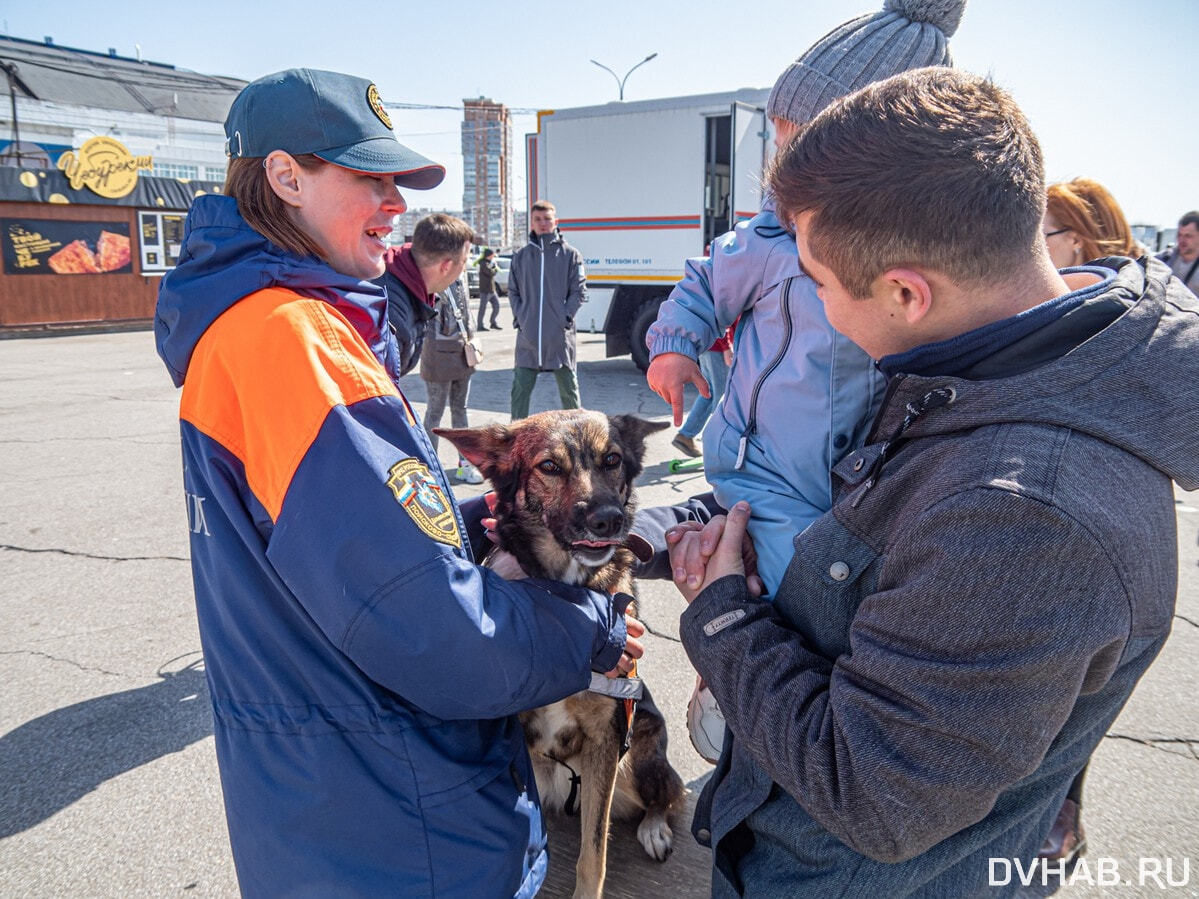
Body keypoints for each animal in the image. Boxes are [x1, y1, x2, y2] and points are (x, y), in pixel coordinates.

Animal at [438, 412, 685, 896]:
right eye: (549, 467)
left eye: (612, 460)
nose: (608, 520)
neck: (565, 596)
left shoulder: (608, 740)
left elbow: (594, 855)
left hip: (638, 758)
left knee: (669, 795)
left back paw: (654, 828)